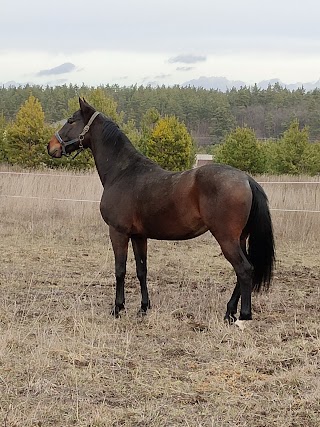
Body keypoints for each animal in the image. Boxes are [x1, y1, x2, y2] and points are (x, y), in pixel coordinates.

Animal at [47, 98, 276, 324]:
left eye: (70, 120)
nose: (51, 146)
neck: (122, 172)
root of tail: (246, 178)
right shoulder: (139, 236)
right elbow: (141, 270)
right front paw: (143, 308)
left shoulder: (118, 232)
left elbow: (120, 270)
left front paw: (118, 308)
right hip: (240, 238)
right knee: (244, 270)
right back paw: (230, 312)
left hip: (226, 238)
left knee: (244, 270)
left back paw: (242, 316)